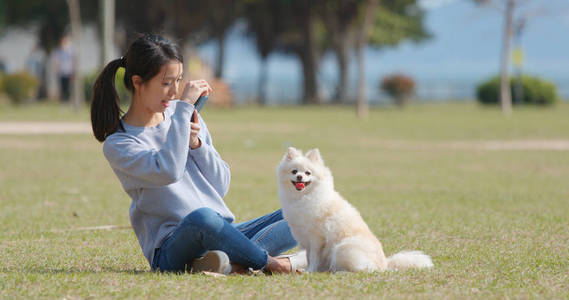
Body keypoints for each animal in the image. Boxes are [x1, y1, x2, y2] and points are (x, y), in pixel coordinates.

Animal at [278, 146, 432, 274]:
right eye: (294, 171)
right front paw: (308, 270)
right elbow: (308, 257)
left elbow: (314, 258)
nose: (299, 176)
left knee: (365, 270)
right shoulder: (305, 239)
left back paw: (341, 272)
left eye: (308, 173)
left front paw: (310, 271)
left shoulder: (317, 238)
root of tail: (385, 264)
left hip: (342, 248)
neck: (302, 197)